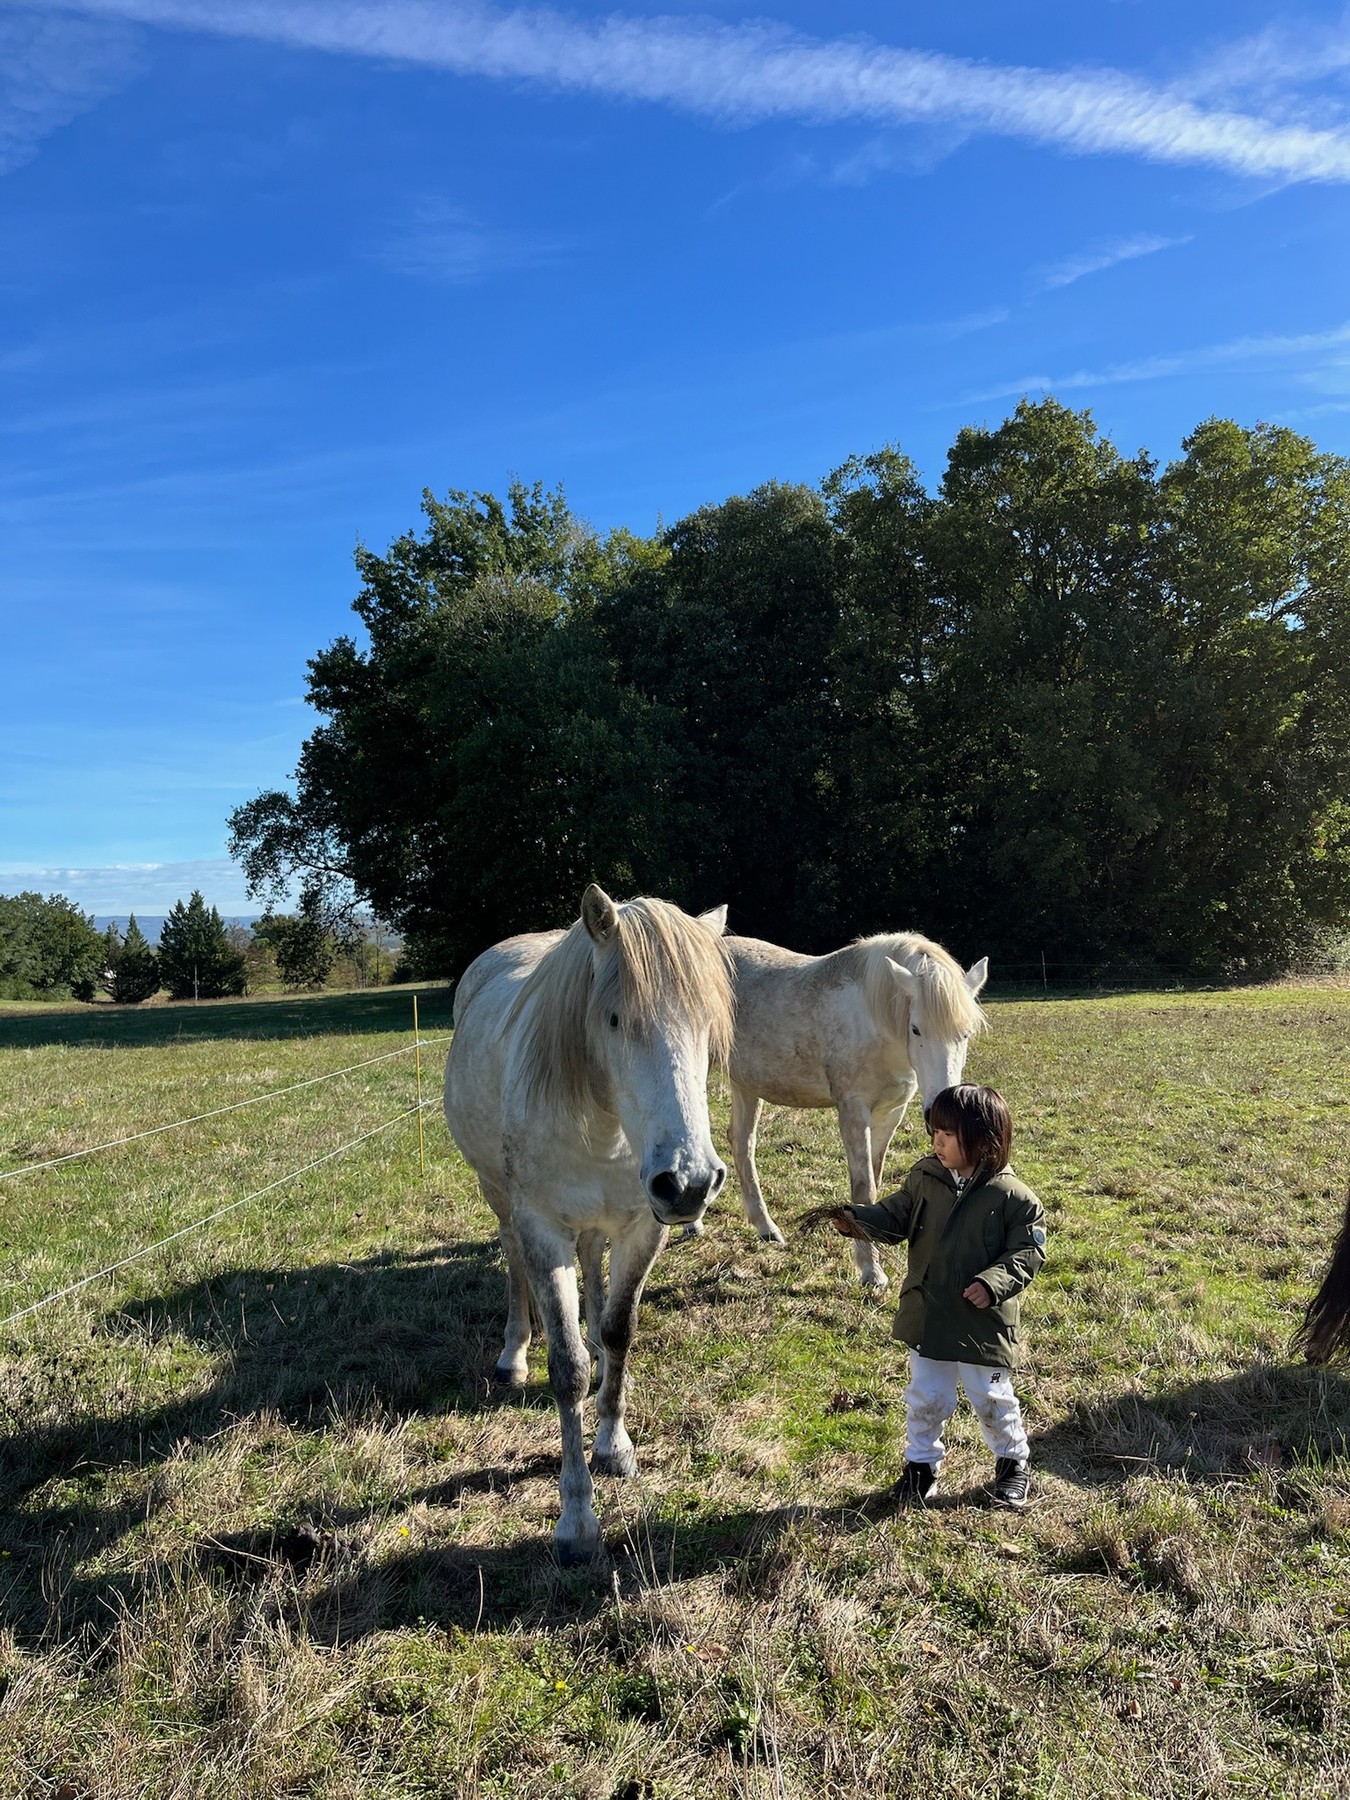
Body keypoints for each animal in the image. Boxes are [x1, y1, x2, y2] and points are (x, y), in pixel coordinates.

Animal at [443, 884, 733, 1564]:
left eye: (707, 1026)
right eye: (615, 1020)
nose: (690, 1182)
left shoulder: (642, 1228)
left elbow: (620, 1330)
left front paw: (614, 1444)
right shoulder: (543, 1228)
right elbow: (566, 1367)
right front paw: (576, 1520)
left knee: (595, 1274)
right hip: (502, 1201)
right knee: (515, 1267)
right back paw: (514, 1355)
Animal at [721, 930, 988, 1290]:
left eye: (966, 1033)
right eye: (916, 1029)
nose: (940, 1113)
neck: (875, 1023)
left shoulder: (890, 1113)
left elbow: (875, 1179)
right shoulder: (853, 1110)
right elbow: (863, 1188)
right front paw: (871, 1271)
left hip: (746, 1085)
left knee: (742, 1142)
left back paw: (766, 1228)